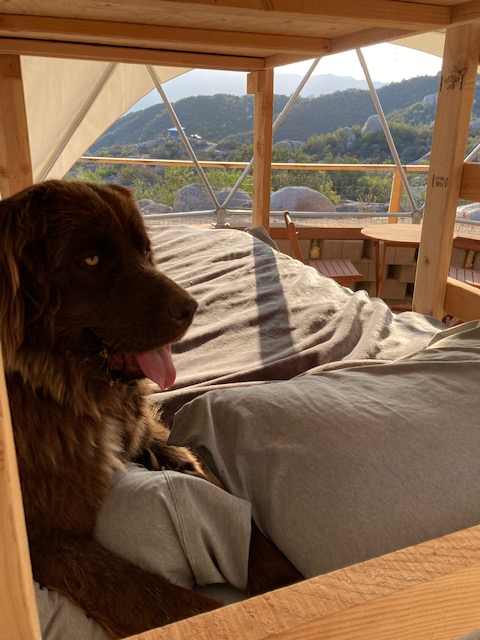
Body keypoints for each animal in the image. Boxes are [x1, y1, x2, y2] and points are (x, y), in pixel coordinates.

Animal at [0, 180, 300, 640]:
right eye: (90, 259)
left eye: (144, 250)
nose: (191, 307)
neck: (66, 388)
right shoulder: (44, 536)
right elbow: (144, 594)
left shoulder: (149, 437)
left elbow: (229, 505)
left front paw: (289, 580)